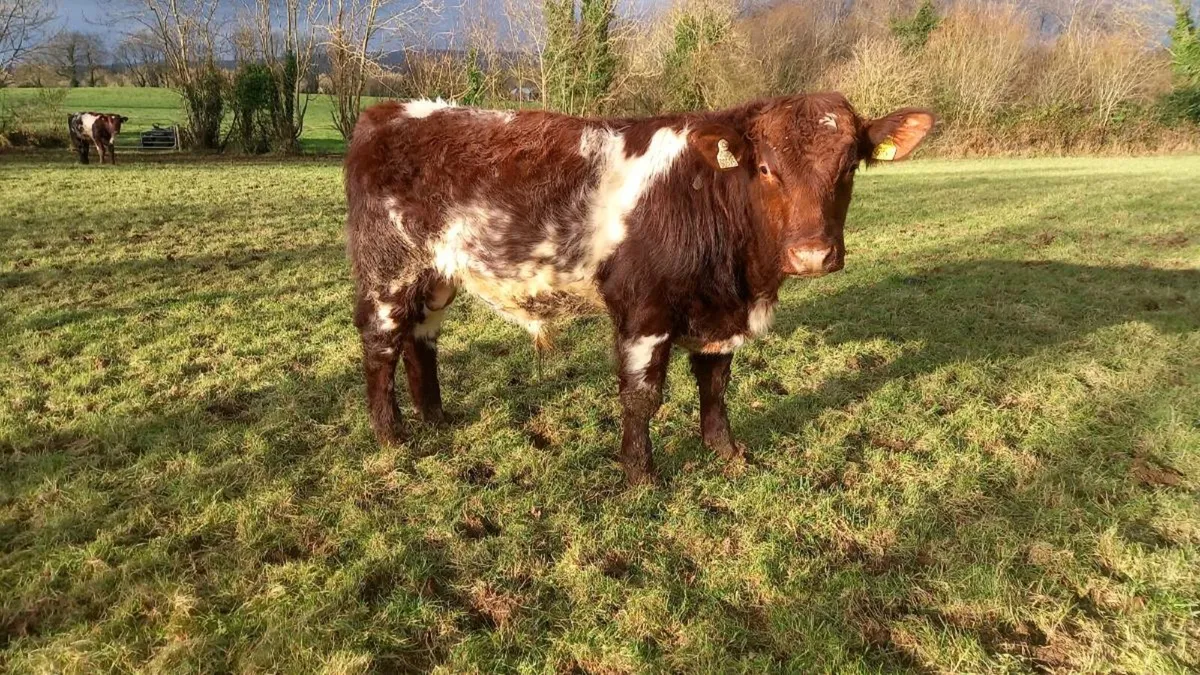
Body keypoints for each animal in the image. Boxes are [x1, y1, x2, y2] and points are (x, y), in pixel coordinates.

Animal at [344, 94, 934, 484]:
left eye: (849, 167)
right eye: (766, 168)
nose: (813, 254)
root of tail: (391, 110)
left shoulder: (718, 315)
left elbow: (715, 383)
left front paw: (725, 451)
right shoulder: (644, 311)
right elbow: (641, 396)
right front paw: (640, 475)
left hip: (438, 274)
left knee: (422, 342)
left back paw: (436, 418)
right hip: (388, 269)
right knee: (382, 346)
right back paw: (392, 434)